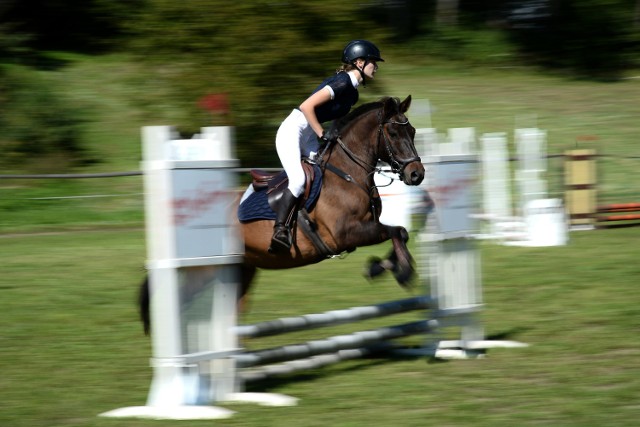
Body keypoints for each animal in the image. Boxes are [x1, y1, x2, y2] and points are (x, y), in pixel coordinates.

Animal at [139, 94, 424, 334]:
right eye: (393, 132)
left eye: (412, 131)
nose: (416, 174)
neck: (347, 173)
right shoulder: (345, 234)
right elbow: (396, 231)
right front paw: (404, 272)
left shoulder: (366, 228)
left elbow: (400, 232)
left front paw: (380, 267)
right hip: (207, 270)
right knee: (181, 300)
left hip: (240, 270)